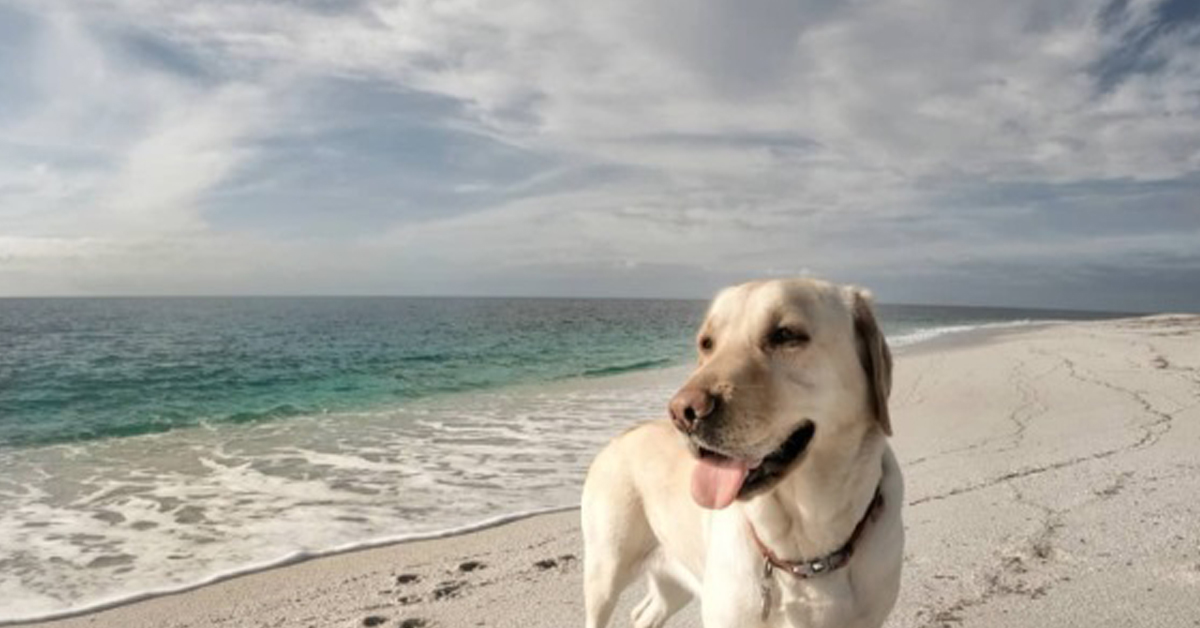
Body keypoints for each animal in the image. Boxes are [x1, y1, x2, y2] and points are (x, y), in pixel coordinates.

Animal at [578, 278, 902, 628]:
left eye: (785, 335)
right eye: (706, 343)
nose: (682, 412)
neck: (806, 551)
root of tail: (621, 435)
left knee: (643, 614)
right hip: (605, 571)